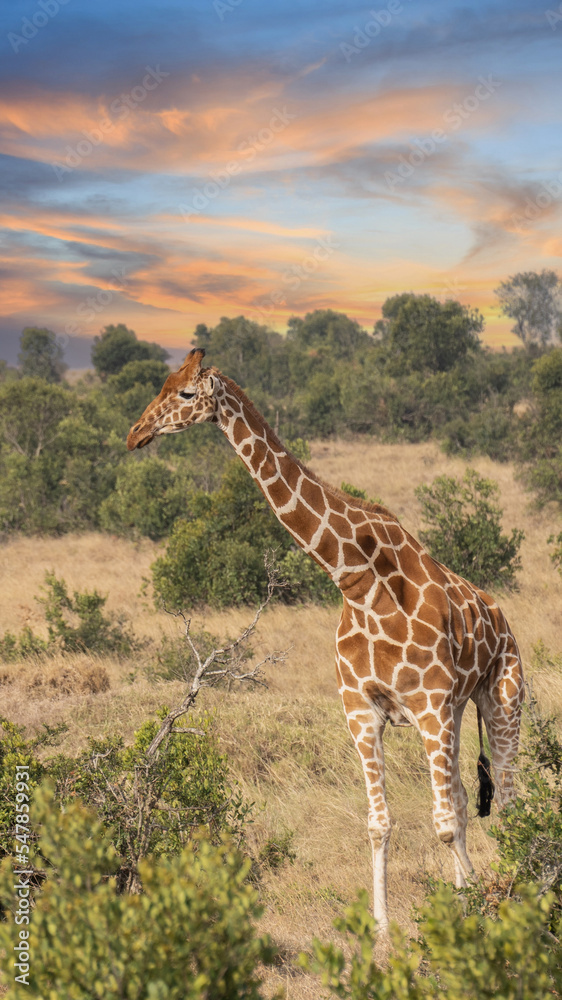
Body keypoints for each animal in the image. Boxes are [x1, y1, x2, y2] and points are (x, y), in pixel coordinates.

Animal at [126, 350, 520, 928]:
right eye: (163, 383)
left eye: (184, 394)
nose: (135, 434)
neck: (356, 581)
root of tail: (501, 615)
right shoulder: (361, 710)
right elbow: (381, 823)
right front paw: (384, 930)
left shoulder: (428, 705)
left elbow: (444, 824)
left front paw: (474, 915)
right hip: (456, 711)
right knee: (469, 797)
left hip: (500, 698)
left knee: (507, 798)